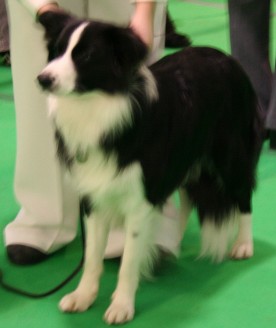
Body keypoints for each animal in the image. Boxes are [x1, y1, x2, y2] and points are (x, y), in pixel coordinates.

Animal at [37, 11, 264, 324]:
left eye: (85, 55)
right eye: (57, 51)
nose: (42, 79)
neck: (99, 107)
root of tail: (229, 59)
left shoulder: (139, 198)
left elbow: (128, 261)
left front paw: (122, 305)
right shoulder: (95, 195)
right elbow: (93, 256)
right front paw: (83, 296)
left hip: (229, 153)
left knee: (243, 195)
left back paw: (243, 245)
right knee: (186, 200)